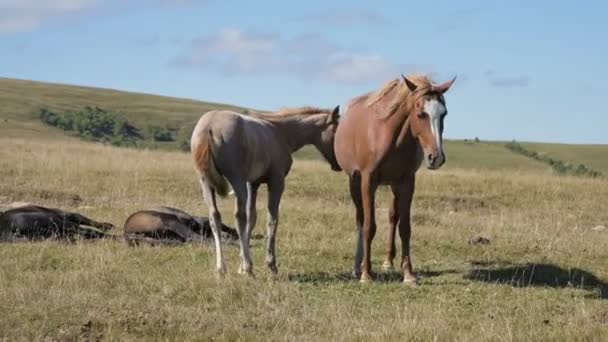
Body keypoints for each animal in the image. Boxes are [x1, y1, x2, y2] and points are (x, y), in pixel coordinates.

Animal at [191, 105, 340, 276]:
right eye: (336, 130)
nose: (338, 164)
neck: (280, 132)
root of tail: (208, 126)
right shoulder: (276, 183)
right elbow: (272, 219)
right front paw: (270, 265)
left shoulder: (253, 184)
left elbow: (252, 218)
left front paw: (240, 266)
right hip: (237, 180)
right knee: (239, 217)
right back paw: (249, 268)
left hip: (206, 183)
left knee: (215, 217)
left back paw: (222, 268)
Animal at [334, 73, 454, 282]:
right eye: (421, 114)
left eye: (444, 114)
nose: (436, 157)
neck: (387, 133)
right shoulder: (368, 181)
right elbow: (368, 226)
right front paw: (366, 274)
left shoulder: (406, 181)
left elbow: (404, 227)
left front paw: (408, 274)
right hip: (354, 182)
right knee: (360, 219)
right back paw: (358, 267)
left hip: (393, 185)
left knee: (392, 217)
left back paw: (388, 261)